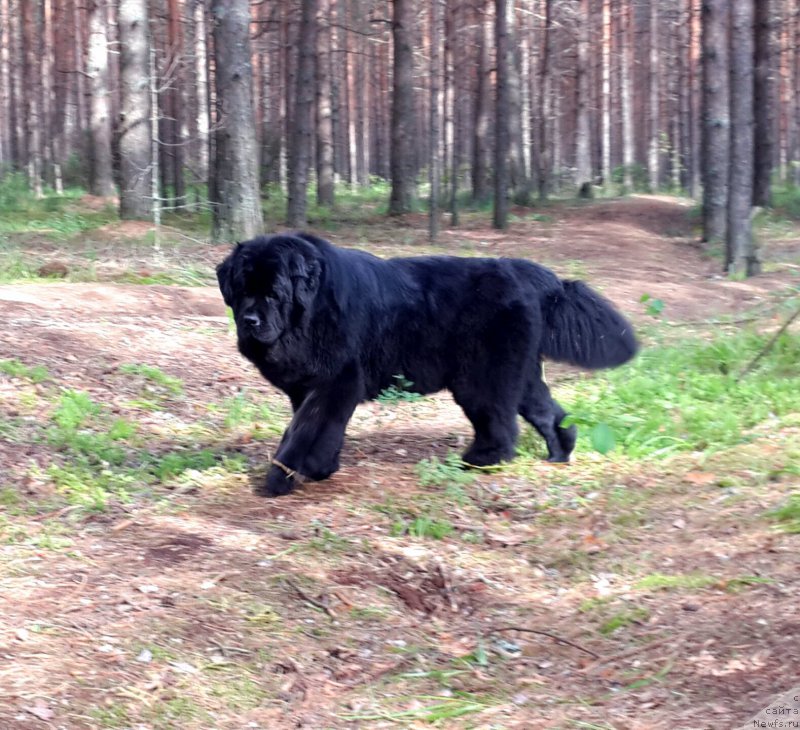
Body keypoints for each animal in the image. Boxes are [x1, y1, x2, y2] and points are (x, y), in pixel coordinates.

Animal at [217, 232, 636, 494]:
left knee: (498, 421)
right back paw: (558, 455)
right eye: (241, 290)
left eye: (274, 293)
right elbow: (315, 428)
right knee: (548, 414)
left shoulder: (337, 381)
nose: (250, 321)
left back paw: (483, 460)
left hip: (481, 376)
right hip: (519, 372)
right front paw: (321, 467)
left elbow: (307, 431)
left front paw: (287, 475)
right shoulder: (307, 387)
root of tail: (526, 272)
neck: (310, 314)